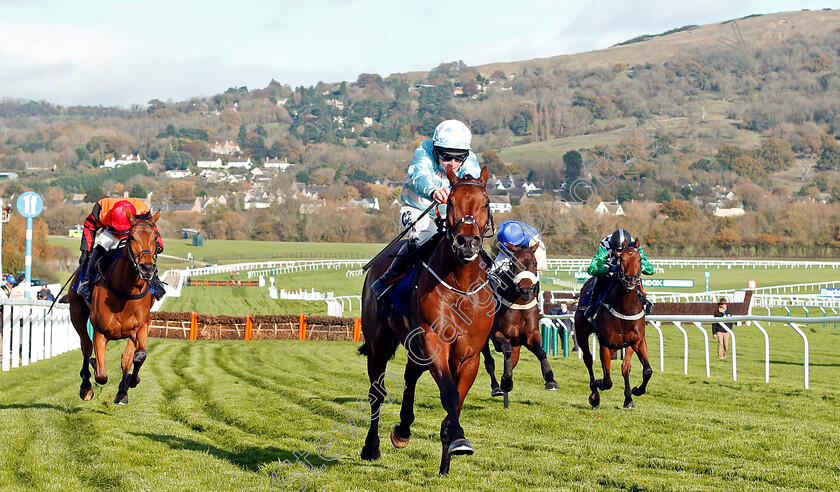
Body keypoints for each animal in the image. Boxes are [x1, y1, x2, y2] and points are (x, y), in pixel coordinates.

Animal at [69, 209, 161, 406]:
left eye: (155, 238)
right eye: (132, 237)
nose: (147, 268)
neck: (124, 292)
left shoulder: (140, 326)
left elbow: (136, 356)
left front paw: (129, 383)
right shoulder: (100, 332)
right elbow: (101, 375)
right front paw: (95, 367)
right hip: (76, 312)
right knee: (86, 345)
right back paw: (86, 386)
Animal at [358, 166, 496, 476]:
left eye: (485, 203)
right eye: (451, 201)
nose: (466, 242)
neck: (461, 286)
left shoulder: (470, 354)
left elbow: (457, 399)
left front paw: (448, 452)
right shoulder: (434, 342)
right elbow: (449, 394)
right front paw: (458, 439)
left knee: (410, 376)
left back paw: (403, 429)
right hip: (379, 343)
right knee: (377, 392)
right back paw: (371, 447)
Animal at [482, 242, 560, 408]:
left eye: (535, 263)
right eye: (514, 264)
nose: (526, 290)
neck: (519, 305)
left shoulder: (530, 336)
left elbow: (541, 352)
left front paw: (550, 380)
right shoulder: (496, 334)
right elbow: (506, 350)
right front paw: (506, 381)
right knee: (489, 361)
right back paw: (497, 388)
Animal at [576, 240, 652, 410]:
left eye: (639, 259)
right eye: (621, 259)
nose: (630, 280)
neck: (625, 309)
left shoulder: (638, 341)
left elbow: (647, 371)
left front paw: (636, 391)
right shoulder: (606, 345)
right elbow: (607, 381)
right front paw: (596, 386)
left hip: (627, 344)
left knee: (625, 367)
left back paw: (628, 398)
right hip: (581, 333)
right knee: (588, 359)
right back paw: (594, 392)